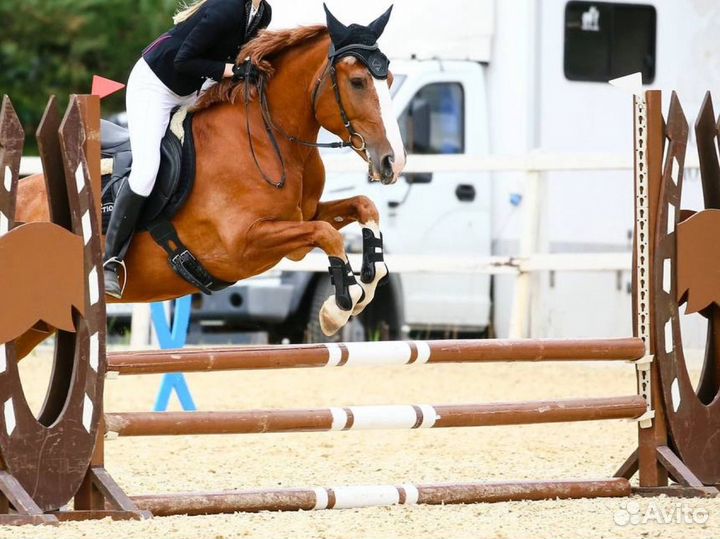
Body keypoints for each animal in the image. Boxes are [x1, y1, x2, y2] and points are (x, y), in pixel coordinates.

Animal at [15, 6, 404, 358]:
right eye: (357, 82)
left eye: (389, 80)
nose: (393, 161)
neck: (267, 138)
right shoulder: (244, 242)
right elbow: (328, 234)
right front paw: (337, 309)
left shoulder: (301, 219)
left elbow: (361, 207)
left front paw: (370, 277)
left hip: (39, 324)